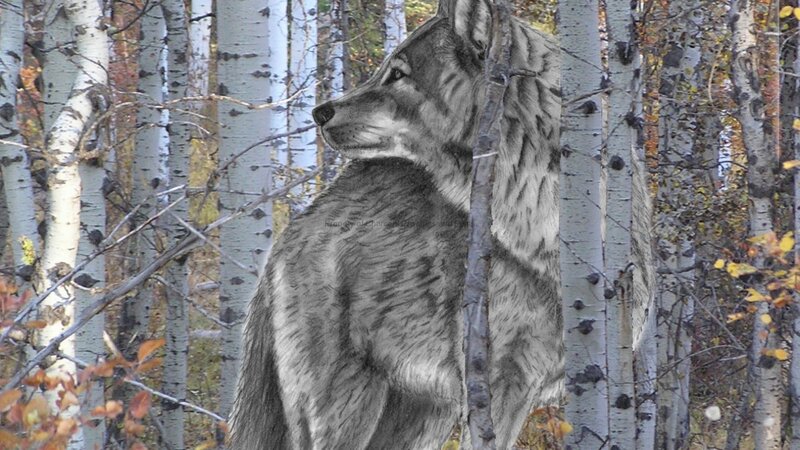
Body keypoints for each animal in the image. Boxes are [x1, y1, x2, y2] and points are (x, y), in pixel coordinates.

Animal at [230, 0, 653, 447]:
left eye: (398, 73)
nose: (319, 112)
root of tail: (289, 235)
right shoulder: (495, 382)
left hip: (422, 416)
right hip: (346, 409)